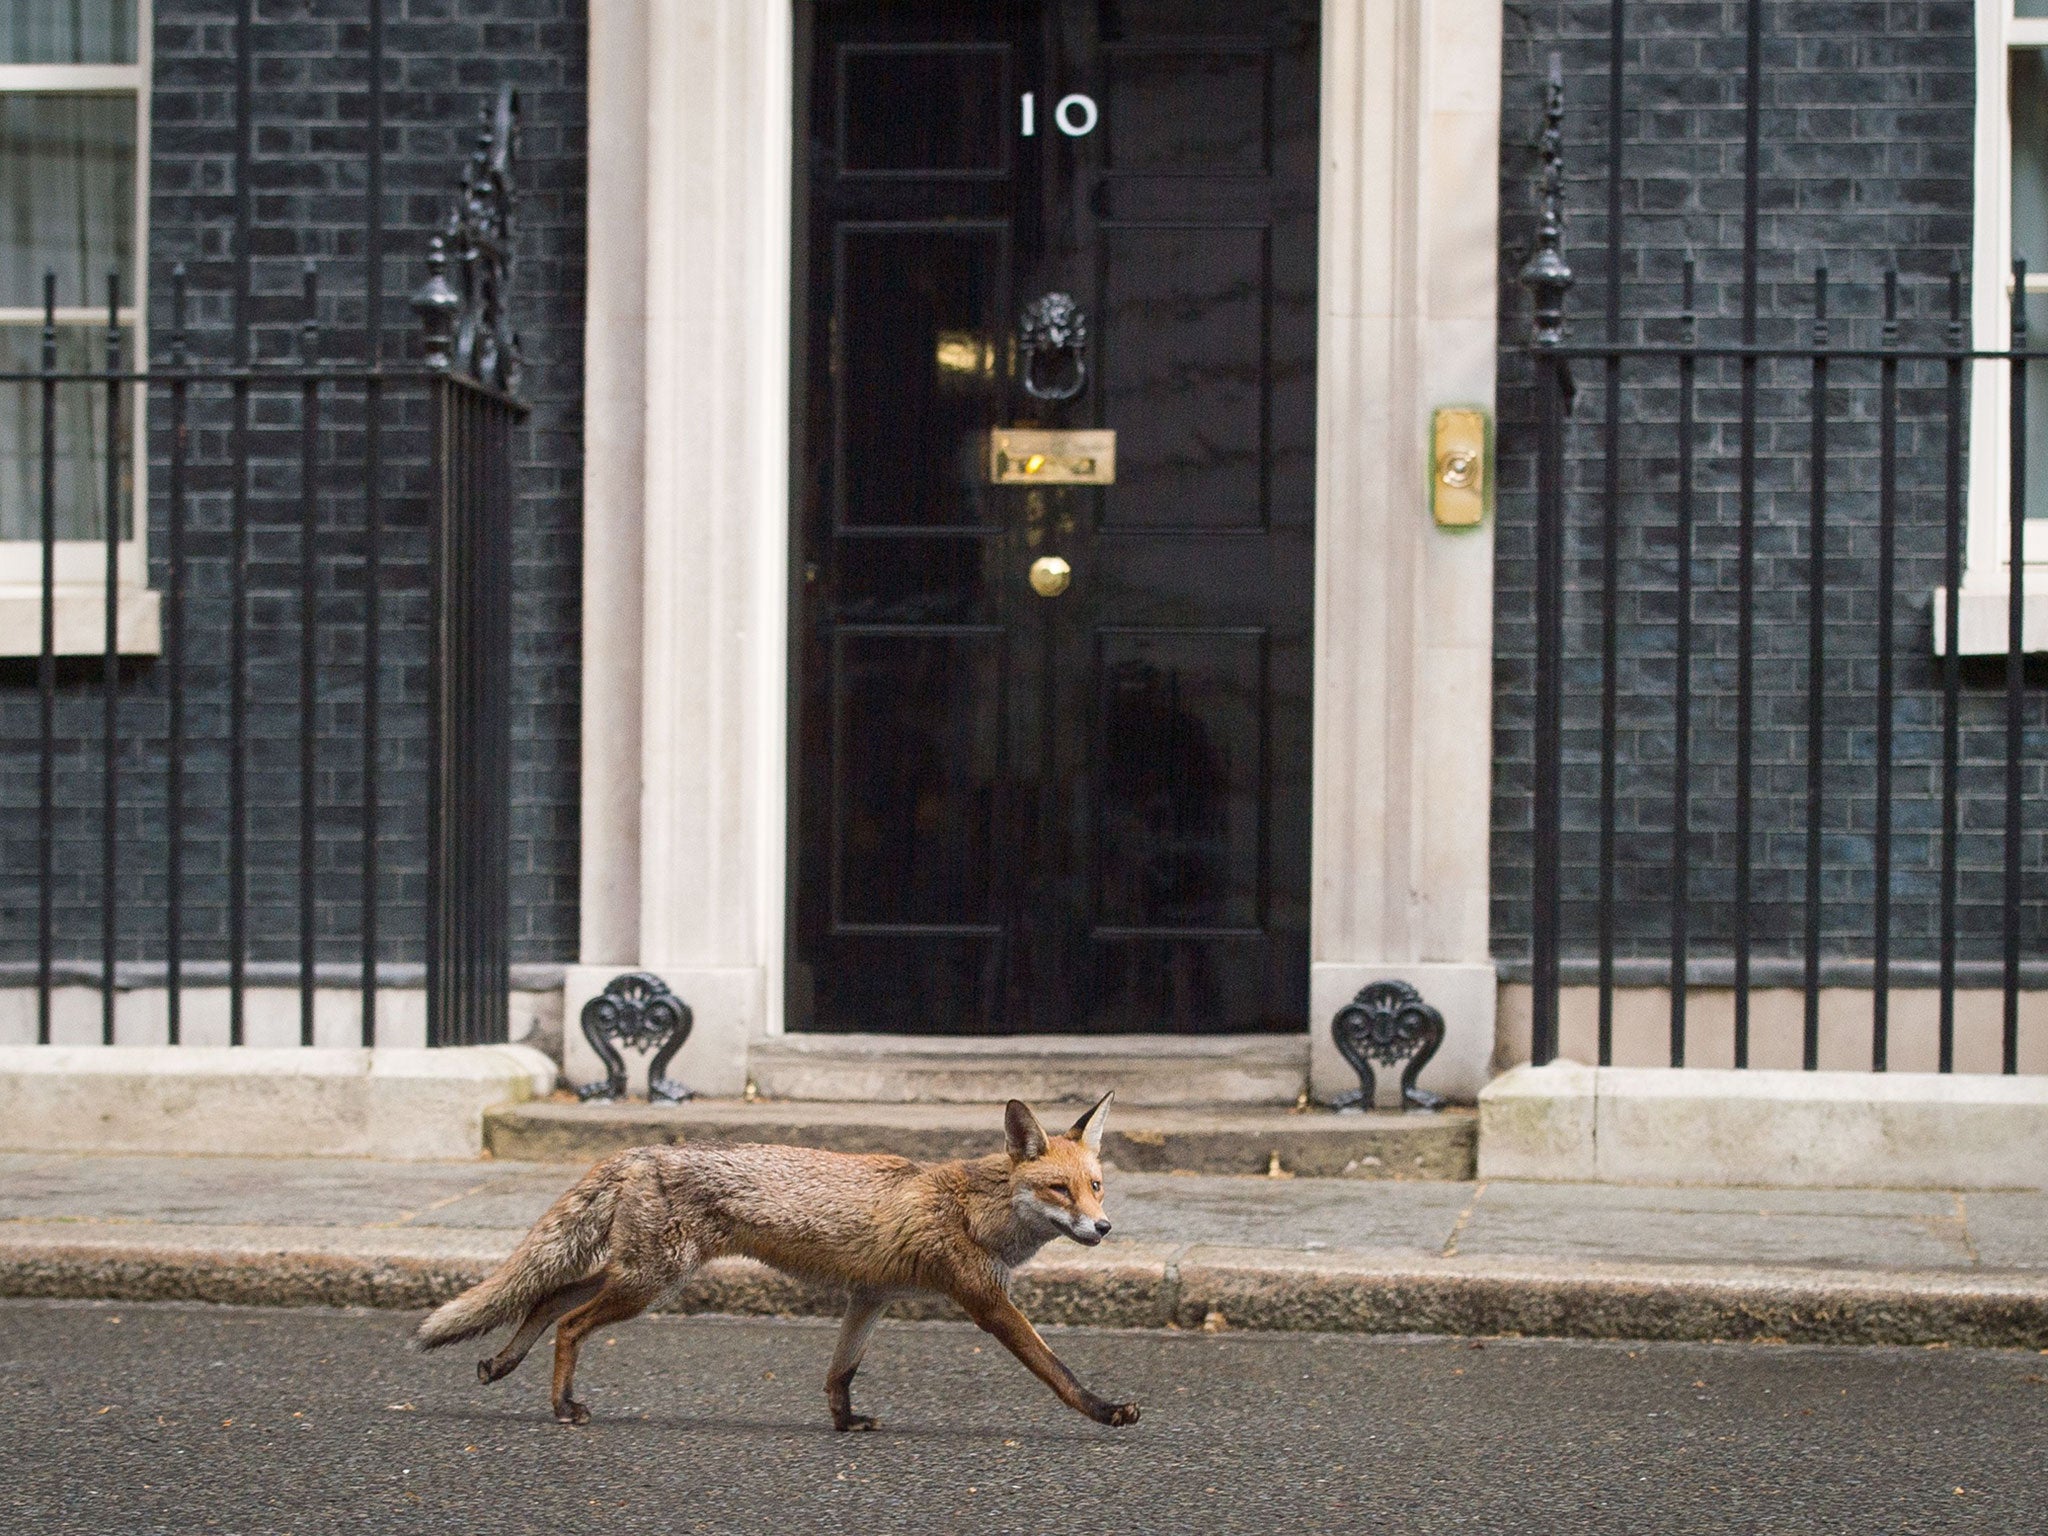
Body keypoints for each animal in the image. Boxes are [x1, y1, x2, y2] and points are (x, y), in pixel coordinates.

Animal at [411, 1097, 1138, 1433]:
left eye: (1097, 1187)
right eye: (1058, 1190)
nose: (1103, 1228)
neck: (973, 1207)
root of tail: (642, 1150)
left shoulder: (870, 1296)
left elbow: (840, 1371)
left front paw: (845, 1423)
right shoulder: (986, 1303)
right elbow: (1057, 1370)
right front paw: (1104, 1410)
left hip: (635, 1274)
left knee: (544, 1298)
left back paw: (501, 1363)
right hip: (648, 1282)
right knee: (566, 1321)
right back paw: (562, 1404)